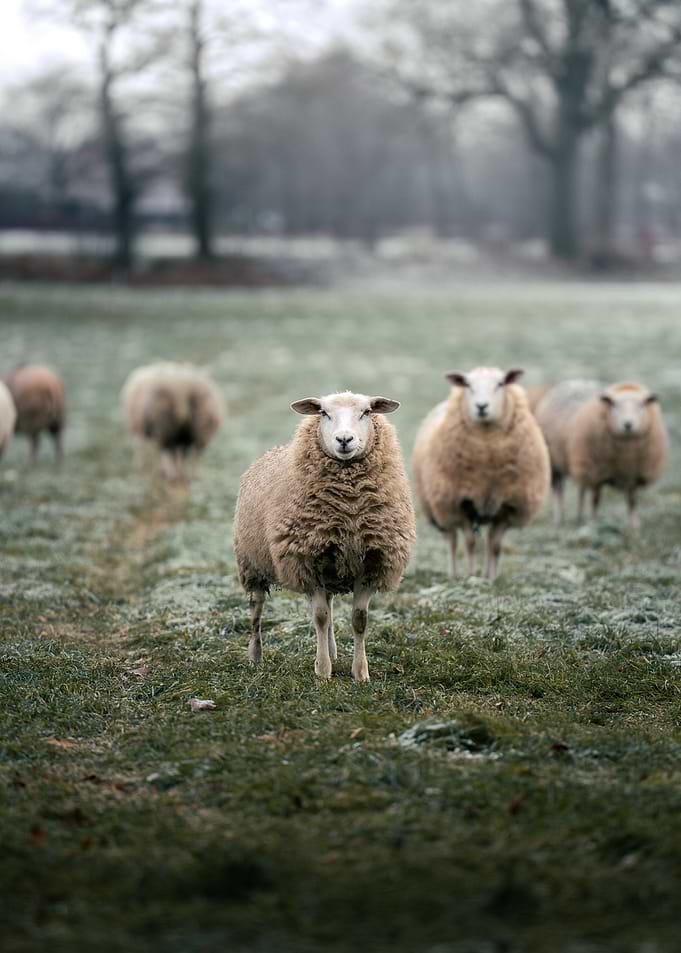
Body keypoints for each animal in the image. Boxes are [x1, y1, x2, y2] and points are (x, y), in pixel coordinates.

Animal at [233, 391, 416, 681]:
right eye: (323, 413)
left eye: (366, 412)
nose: (344, 439)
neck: (350, 509)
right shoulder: (306, 561)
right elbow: (319, 617)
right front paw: (322, 671)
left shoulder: (371, 563)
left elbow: (359, 620)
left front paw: (360, 673)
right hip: (251, 565)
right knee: (256, 611)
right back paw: (255, 656)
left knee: (329, 608)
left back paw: (332, 651)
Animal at [412, 367, 550, 580]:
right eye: (468, 385)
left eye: (500, 384)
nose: (482, 406)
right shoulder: (461, 503)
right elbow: (470, 543)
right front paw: (470, 574)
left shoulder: (506, 507)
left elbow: (495, 546)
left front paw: (491, 576)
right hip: (442, 507)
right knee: (452, 541)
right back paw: (454, 573)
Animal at [535, 380, 667, 529]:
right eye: (614, 405)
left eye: (641, 405)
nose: (628, 424)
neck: (626, 456)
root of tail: (574, 381)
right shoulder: (595, 472)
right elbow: (595, 500)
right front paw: (593, 522)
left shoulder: (633, 475)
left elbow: (632, 501)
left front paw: (634, 526)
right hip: (556, 464)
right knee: (558, 492)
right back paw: (559, 519)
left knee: (581, 490)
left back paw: (579, 517)